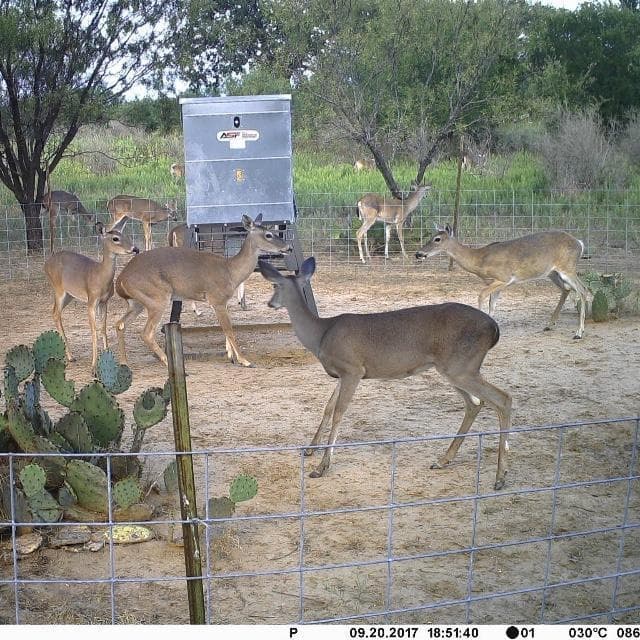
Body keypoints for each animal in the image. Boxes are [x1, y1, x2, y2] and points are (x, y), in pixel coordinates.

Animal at [43, 219, 139, 373]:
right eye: (115, 238)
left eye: (125, 235)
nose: (135, 249)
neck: (100, 276)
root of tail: (46, 264)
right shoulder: (91, 301)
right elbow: (94, 331)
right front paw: (93, 367)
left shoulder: (104, 302)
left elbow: (103, 328)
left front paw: (107, 356)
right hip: (58, 289)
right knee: (56, 314)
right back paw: (70, 356)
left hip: (69, 295)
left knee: (54, 312)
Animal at [115, 214, 292, 368]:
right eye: (268, 234)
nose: (288, 247)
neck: (230, 271)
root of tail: (121, 279)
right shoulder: (217, 299)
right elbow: (229, 329)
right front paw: (245, 360)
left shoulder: (222, 302)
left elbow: (226, 328)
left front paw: (231, 356)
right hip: (157, 298)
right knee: (146, 333)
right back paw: (166, 361)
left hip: (137, 302)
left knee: (120, 324)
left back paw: (124, 362)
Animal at [259, 256, 513, 490]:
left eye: (274, 286)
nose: (270, 303)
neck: (321, 335)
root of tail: (494, 328)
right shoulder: (342, 373)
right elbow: (328, 407)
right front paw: (311, 449)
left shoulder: (353, 368)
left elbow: (339, 412)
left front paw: (322, 466)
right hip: (452, 368)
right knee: (475, 403)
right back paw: (443, 460)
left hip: (462, 366)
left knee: (502, 398)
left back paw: (500, 476)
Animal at [415, 224, 590, 339]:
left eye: (437, 239)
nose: (418, 253)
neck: (480, 259)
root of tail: (580, 243)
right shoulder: (495, 284)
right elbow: (492, 305)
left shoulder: (504, 278)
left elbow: (481, 296)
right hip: (552, 273)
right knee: (567, 289)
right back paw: (549, 325)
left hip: (567, 268)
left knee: (583, 290)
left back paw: (579, 332)